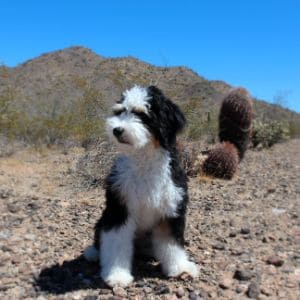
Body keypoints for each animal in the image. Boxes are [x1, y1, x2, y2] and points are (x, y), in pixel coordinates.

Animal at [83, 85, 199, 288]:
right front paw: (117, 275)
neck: (144, 160)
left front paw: (179, 267)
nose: (117, 130)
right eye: (120, 112)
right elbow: (116, 243)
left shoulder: (171, 209)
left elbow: (172, 242)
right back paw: (92, 252)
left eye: (142, 115)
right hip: (103, 219)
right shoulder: (119, 209)